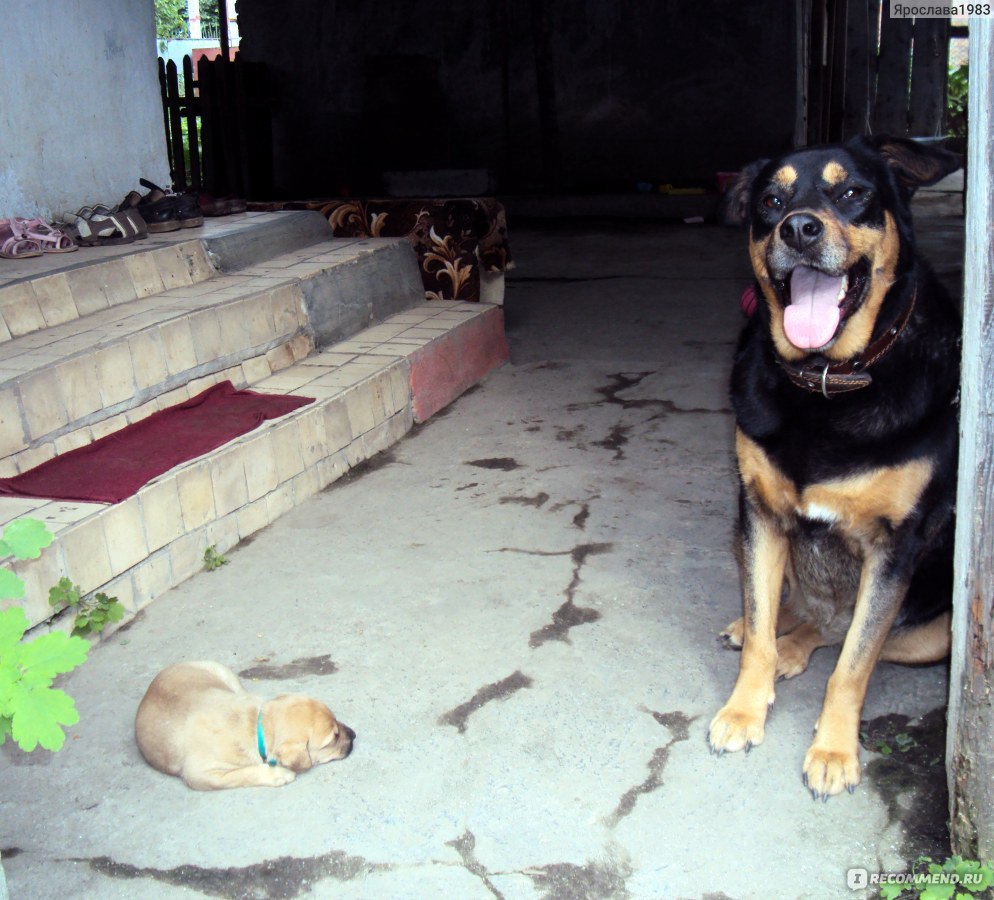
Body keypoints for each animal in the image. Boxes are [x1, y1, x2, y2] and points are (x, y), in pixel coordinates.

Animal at [134, 660, 354, 788]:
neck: (255, 727)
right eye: (333, 738)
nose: (354, 735)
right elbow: (243, 774)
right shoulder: (199, 774)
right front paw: (279, 774)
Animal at [708, 134, 956, 796]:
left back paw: (800, 648)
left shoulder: (895, 548)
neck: (827, 382)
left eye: (852, 193)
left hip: (938, 630)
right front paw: (744, 708)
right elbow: (760, 629)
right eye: (771, 201)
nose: (797, 228)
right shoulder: (760, 512)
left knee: (843, 633)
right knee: (786, 610)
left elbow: (852, 667)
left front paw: (835, 750)